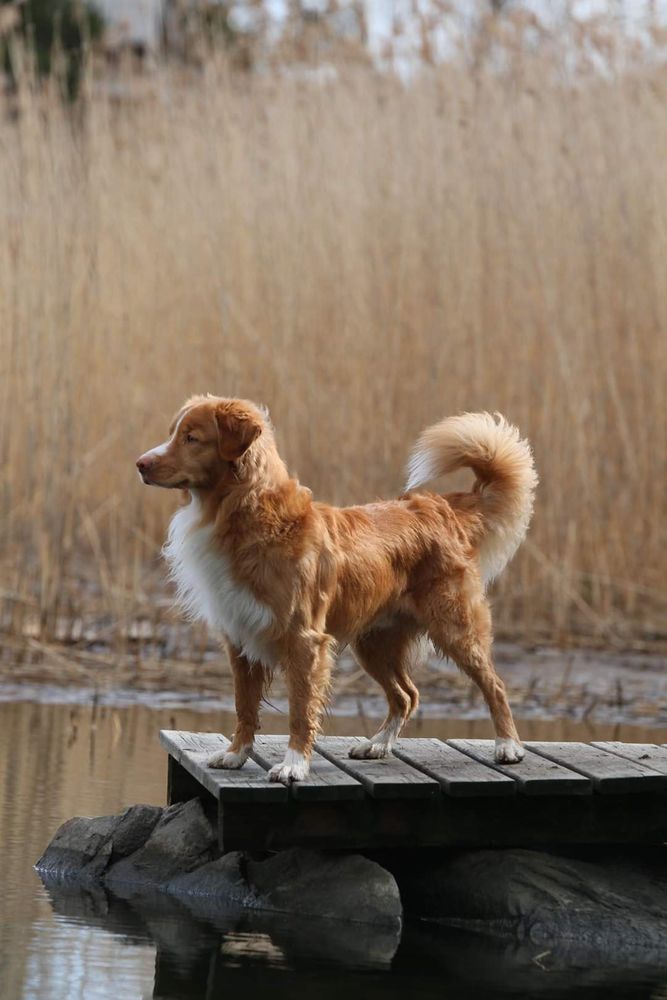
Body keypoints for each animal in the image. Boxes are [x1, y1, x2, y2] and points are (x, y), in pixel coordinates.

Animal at [137, 396, 536, 780]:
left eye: (192, 438)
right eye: (174, 434)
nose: (140, 463)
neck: (244, 513)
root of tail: (440, 507)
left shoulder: (303, 639)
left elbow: (300, 709)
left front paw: (294, 765)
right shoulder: (240, 636)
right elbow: (243, 705)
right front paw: (236, 755)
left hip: (455, 627)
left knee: (494, 685)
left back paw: (508, 746)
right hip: (373, 643)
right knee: (407, 695)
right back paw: (377, 744)